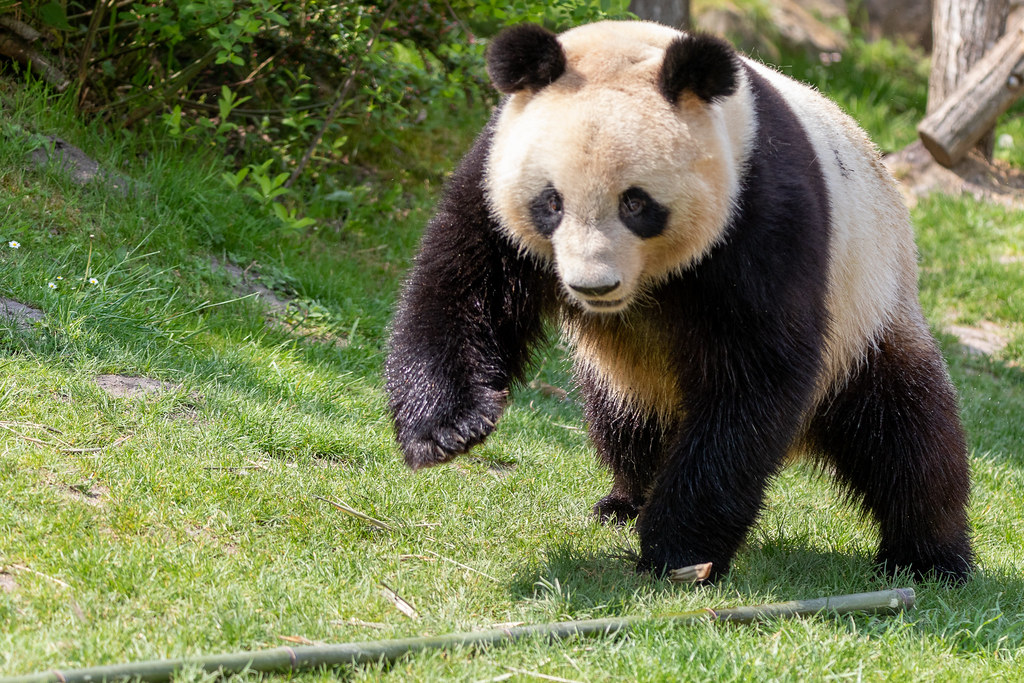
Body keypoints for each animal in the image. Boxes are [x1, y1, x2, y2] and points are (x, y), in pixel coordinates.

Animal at [384, 20, 973, 583]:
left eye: (636, 203)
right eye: (551, 202)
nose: (593, 287)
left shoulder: (762, 210)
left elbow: (751, 377)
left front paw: (678, 549)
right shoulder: (495, 171)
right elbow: (464, 285)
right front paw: (448, 429)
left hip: (869, 311)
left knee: (908, 435)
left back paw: (930, 557)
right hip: (630, 374)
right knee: (625, 422)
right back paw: (624, 501)